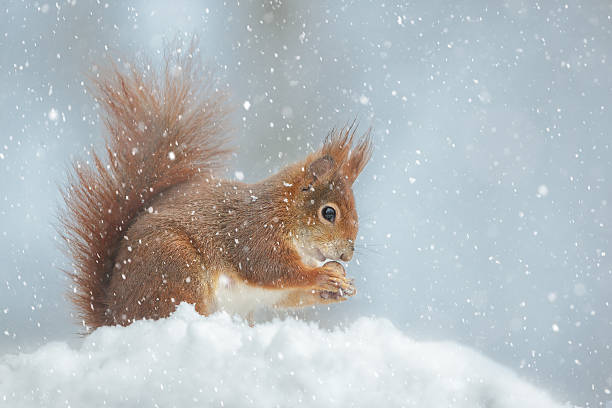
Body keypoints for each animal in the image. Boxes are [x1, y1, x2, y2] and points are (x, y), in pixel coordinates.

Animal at [59, 47, 370, 332]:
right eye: (328, 213)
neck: (285, 211)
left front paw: (341, 286)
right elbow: (271, 269)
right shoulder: (255, 232)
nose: (347, 255)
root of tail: (115, 316)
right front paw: (323, 276)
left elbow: (287, 296)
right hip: (175, 266)